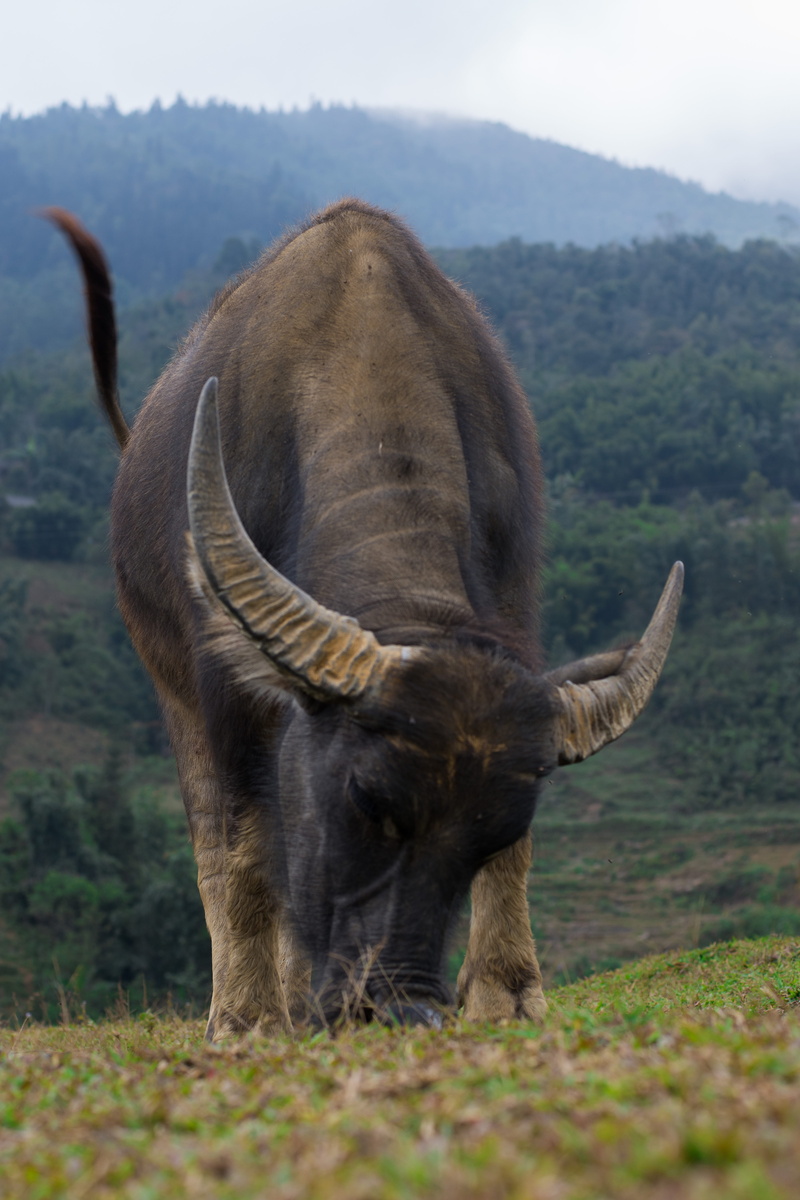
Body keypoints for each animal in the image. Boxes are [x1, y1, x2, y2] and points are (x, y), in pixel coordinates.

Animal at [47, 200, 682, 1036]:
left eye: (491, 832)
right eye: (367, 801)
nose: (400, 1006)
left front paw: (507, 991)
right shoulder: (223, 689)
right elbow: (245, 849)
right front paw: (247, 1020)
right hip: (170, 682)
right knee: (219, 840)